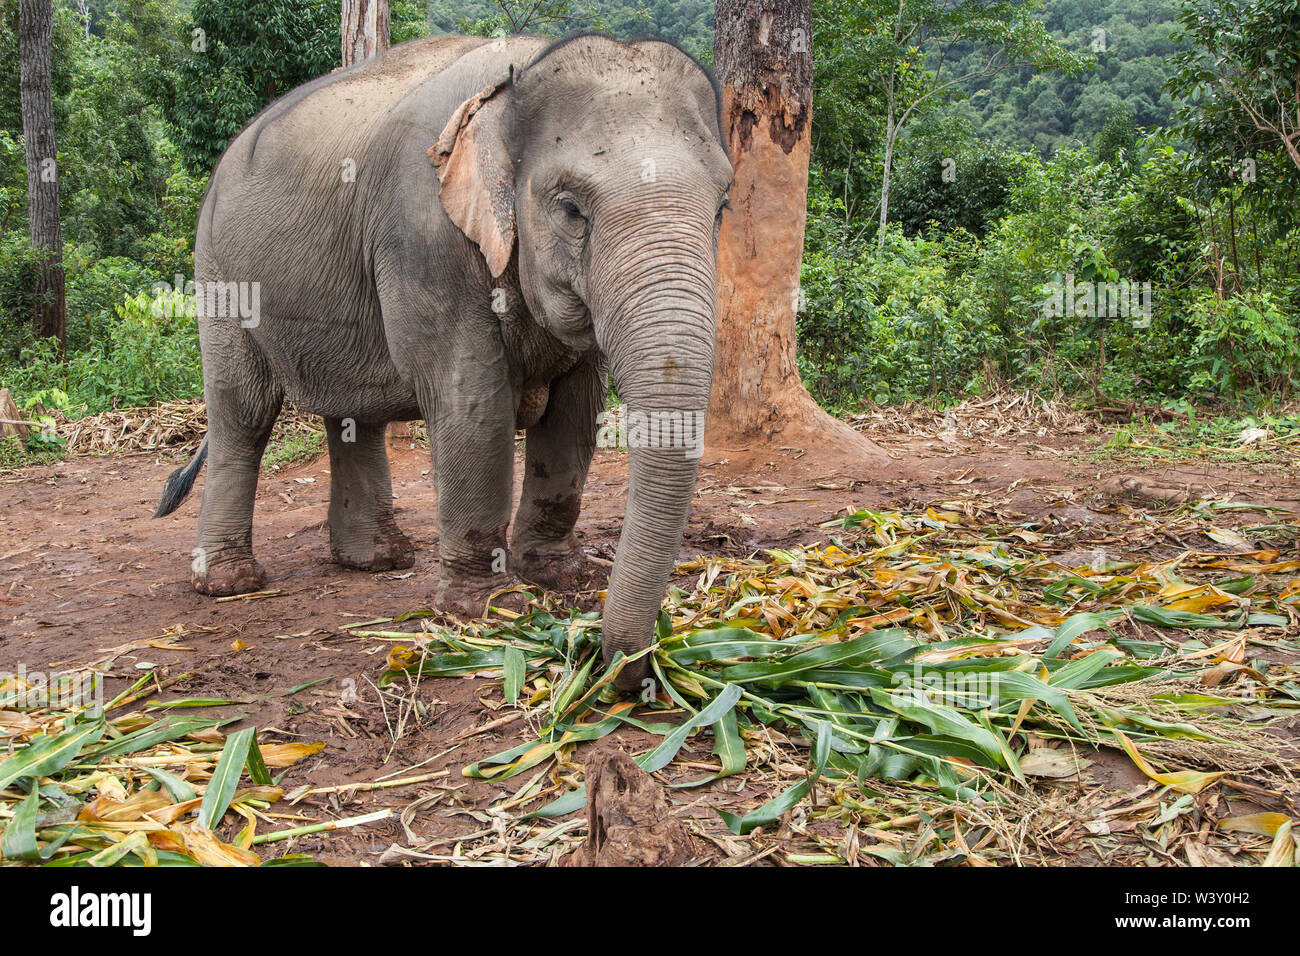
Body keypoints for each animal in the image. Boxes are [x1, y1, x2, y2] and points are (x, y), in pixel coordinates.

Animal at [150, 31, 738, 686]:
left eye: (723, 206)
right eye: (569, 208)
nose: (627, 665)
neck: (519, 78)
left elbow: (576, 412)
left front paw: (558, 574)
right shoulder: (424, 238)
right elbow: (472, 404)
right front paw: (487, 609)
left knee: (353, 417)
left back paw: (377, 561)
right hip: (219, 273)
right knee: (243, 414)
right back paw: (230, 583)